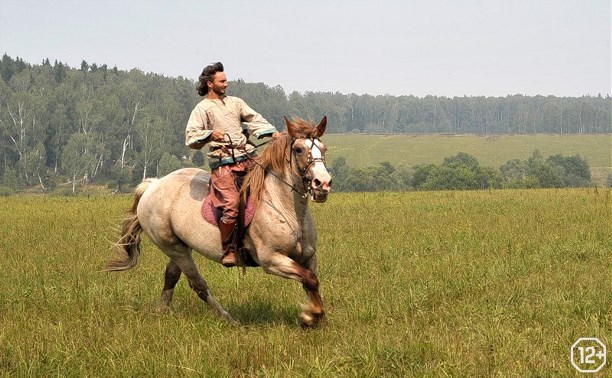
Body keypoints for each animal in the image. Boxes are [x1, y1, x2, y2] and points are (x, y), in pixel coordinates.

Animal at [107, 116, 332, 328]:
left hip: (180, 246)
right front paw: (310, 316)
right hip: (172, 247)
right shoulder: (272, 260)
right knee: (198, 285)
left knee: (171, 276)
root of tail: (153, 185)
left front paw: (314, 316)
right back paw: (228, 318)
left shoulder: (308, 257)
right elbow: (310, 279)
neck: (285, 208)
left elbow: (311, 282)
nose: (323, 183)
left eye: (323, 148)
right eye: (298, 149)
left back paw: (161, 312)